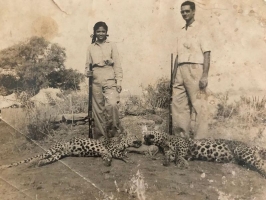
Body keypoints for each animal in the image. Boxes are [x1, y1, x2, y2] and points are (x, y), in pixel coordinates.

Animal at [0, 133, 141, 169]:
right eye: (135, 136)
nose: (141, 139)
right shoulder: (111, 149)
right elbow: (121, 154)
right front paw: (129, 160)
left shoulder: (106, 151)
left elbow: (110, 155)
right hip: (53, 150)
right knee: (36, 156)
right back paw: (32, 163)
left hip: (58, 155)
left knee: (46, 159)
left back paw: (40, 164)